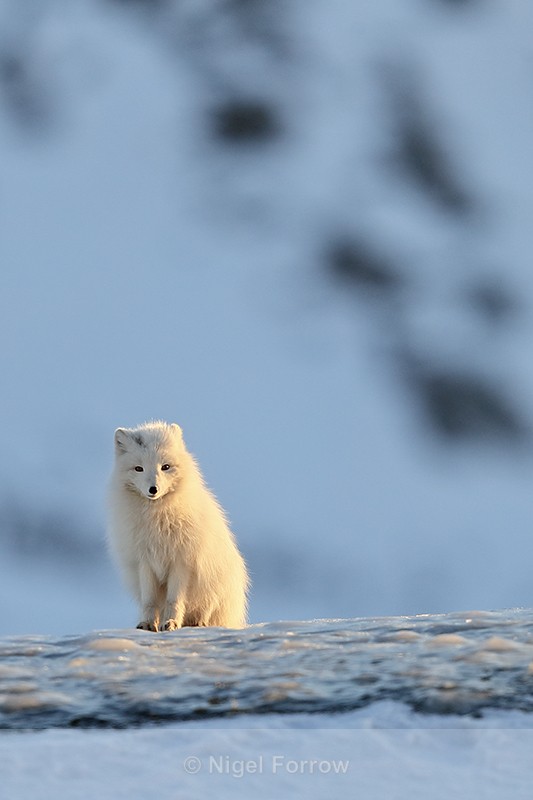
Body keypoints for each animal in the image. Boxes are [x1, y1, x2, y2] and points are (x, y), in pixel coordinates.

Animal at [107, 421, 249, 631]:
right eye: (139, 468)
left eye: (165, 467)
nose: (153, 489)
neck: (156, 518)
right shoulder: (144, 562)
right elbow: (150, 601)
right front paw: (148, 624)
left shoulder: (182, 561)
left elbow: (174, 600)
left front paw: (171, 623)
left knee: (205, 612)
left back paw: (198, 623)